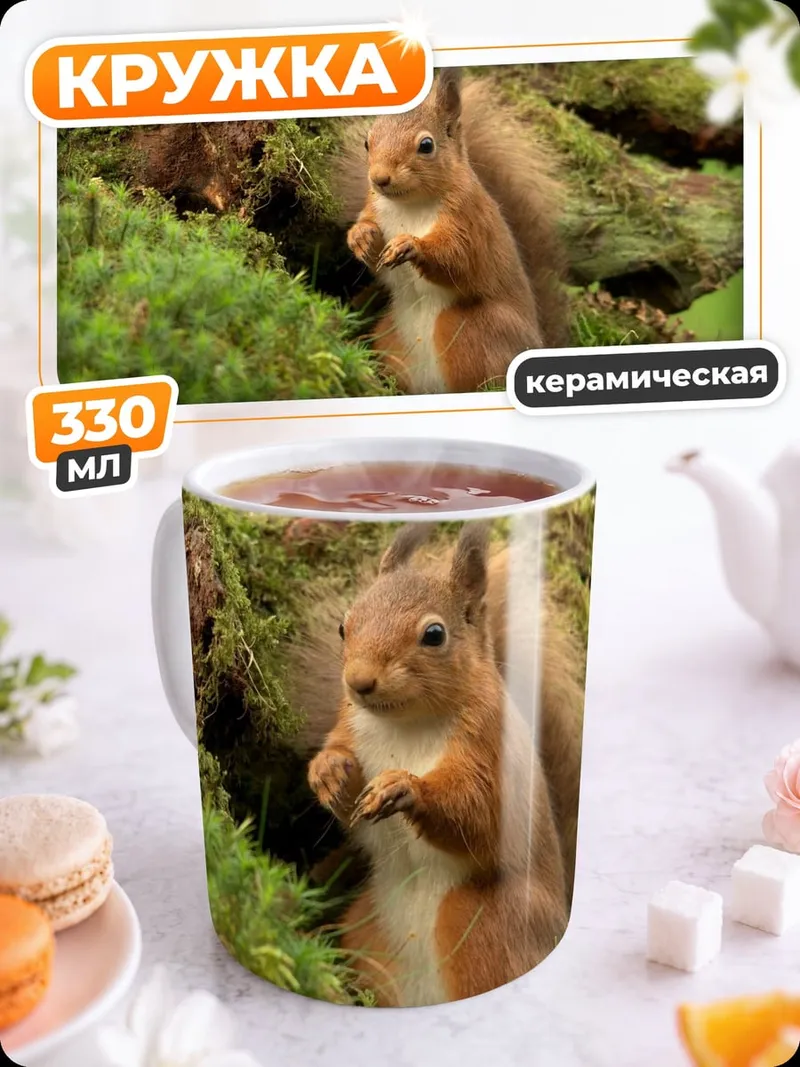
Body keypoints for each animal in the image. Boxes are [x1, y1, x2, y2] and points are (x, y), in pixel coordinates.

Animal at [299, 522, 582, 1007]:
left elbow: (481, 814)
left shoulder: (492, 747)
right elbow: (343, 774)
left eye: (434, 634)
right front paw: (328, 772)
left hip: (480, 923)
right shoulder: (349, 725)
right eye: (343, 626)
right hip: (366, 933)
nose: (358, 681)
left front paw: (405, 788)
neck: (405, 725)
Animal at [333, 68, 569, 395]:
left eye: (426, 146)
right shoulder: (375, 208)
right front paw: (360, 237)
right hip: (390, 338)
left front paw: (412, 245)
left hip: (469, 330)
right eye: (367, 142)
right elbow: (373, 248)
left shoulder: (469, 221)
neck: (410, 205)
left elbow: (459, 259)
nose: (379, 178)